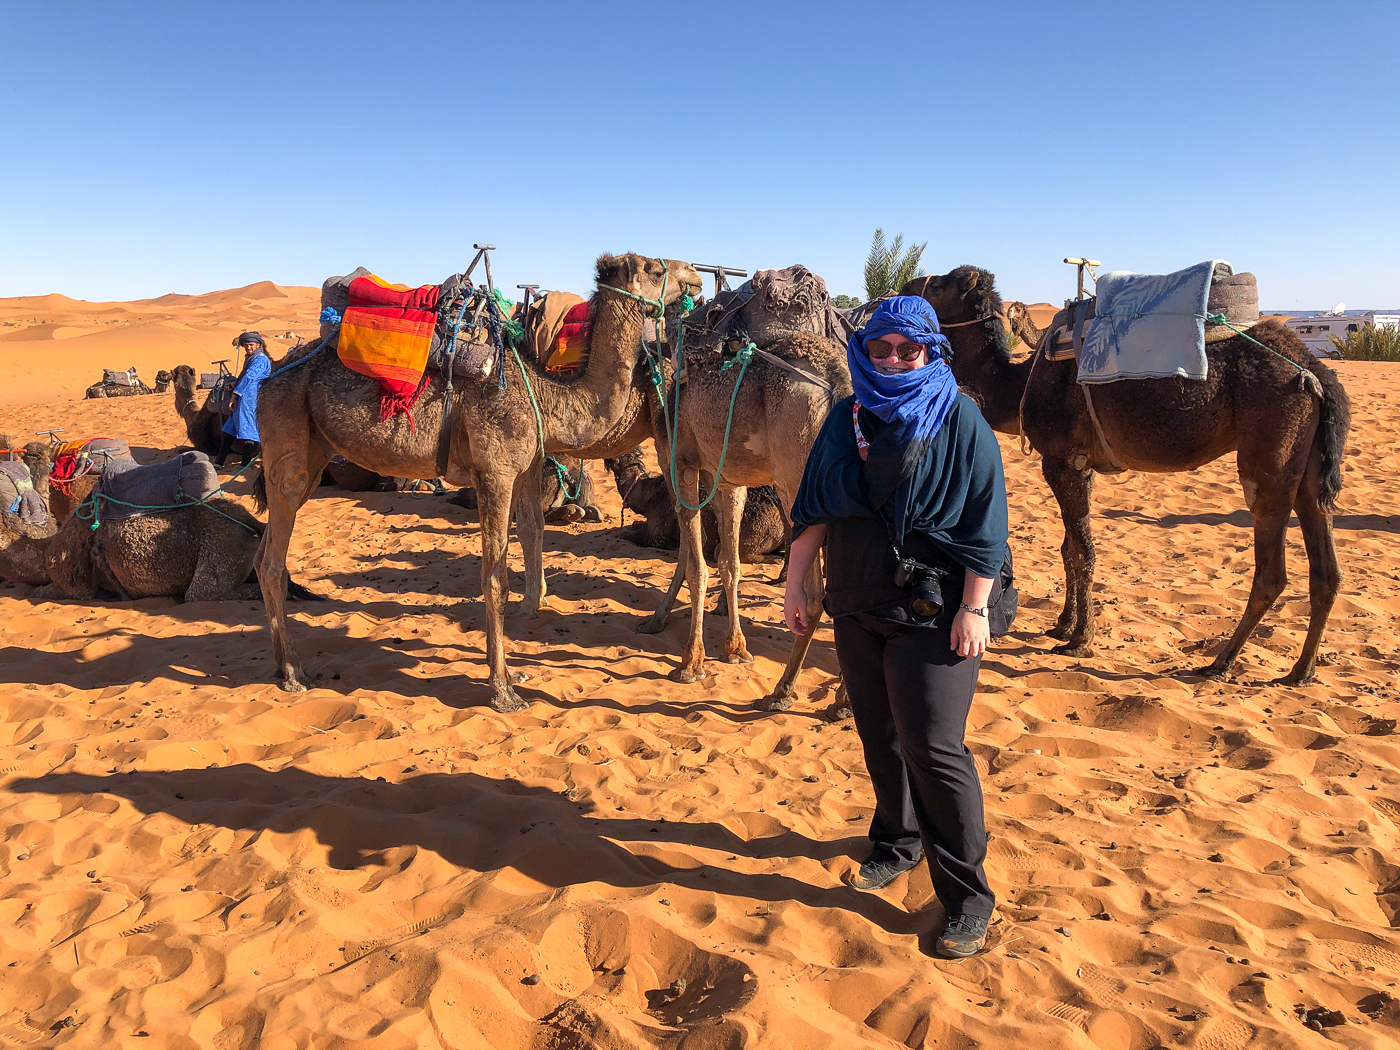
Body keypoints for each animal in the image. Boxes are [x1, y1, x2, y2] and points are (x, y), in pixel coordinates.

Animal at [252, 256, 700, 716]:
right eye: (653, 268)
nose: (694, 276)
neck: (548, 396)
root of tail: (270, 376)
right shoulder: (495, 473)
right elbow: (495, 579)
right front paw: (504, 691)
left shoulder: (520, 471)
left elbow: (525, 540)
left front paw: (510, 672)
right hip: (287, 438)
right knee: (271, 559)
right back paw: (293, 673)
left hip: (313, 451)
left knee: (267, 550)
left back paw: (282, 665)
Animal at [901, 267, 1349, 686]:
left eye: (938, 285)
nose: (905, 286)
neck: (1018, 385)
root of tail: (1314, 371)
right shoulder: (1082, 464)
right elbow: (1068, 547)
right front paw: (1062, 624)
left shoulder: (1062, 460)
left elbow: (1082, 551)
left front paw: (1079, 640)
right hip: (1308, 467)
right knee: (1325, 566)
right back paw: (1300, 671)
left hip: (1269, 452)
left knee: (1271, 570)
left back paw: (1219, 663)